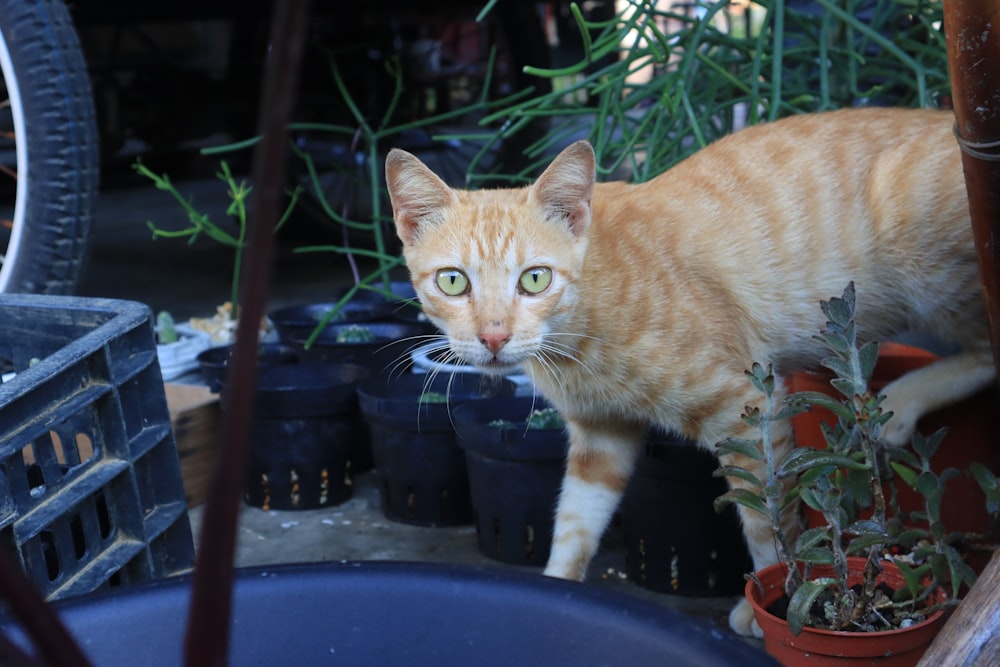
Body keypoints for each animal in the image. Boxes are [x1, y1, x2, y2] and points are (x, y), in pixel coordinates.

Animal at [382, 108, 992, 636]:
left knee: (988, 348)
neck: (580, 330)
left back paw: (904, 398)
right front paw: (555, 589)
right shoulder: (600, 435)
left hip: (920, 250)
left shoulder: (749, 407)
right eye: (454, 281)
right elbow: (576, 522)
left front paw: (777, 595)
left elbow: (770, 517)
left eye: (534, 279)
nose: (493, 337)